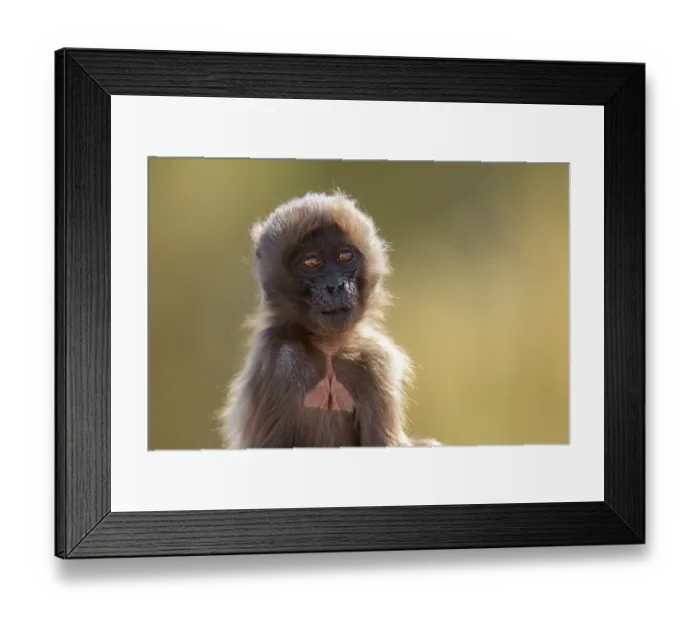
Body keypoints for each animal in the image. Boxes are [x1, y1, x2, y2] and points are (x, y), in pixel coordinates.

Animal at [218, 191, 440, 449]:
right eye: (312, 263)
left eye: (344, 257)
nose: (335, 286)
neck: (327, 348)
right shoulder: (277, 360)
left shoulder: (375, 361)